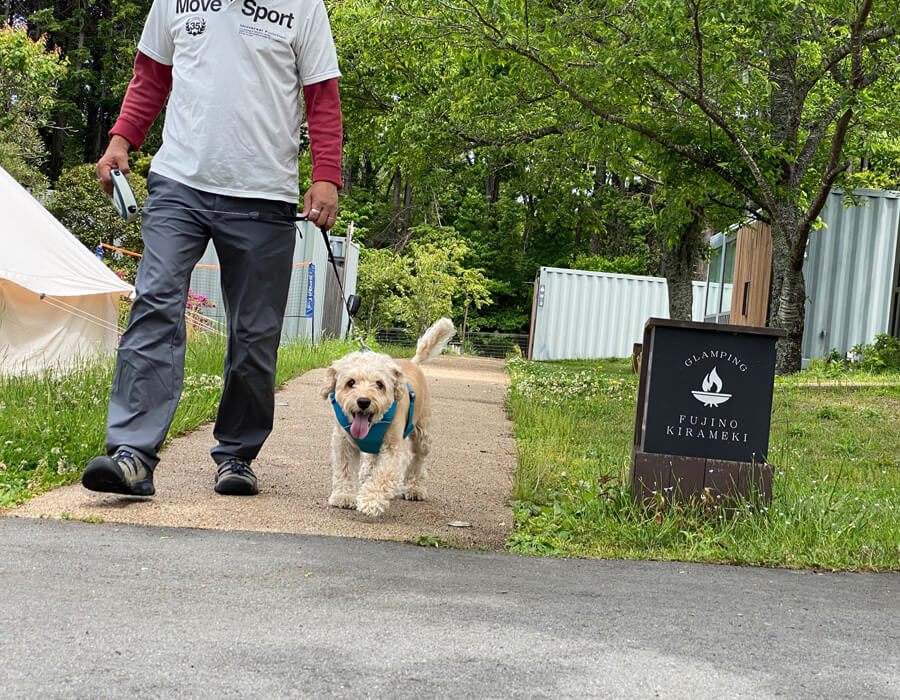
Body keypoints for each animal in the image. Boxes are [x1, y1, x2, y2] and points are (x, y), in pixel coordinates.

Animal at [320, 320, 454, 516]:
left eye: (379, 384)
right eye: (351, 382)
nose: (363, 401)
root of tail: (413, 362)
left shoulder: (394, 448)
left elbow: (383, 474)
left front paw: (371, 500)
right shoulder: (343, 443)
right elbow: (344, 469)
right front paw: (343, 496)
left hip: (422, 434)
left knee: (419, 461)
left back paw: (415, 488)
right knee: (372, 459)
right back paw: (367, 474)